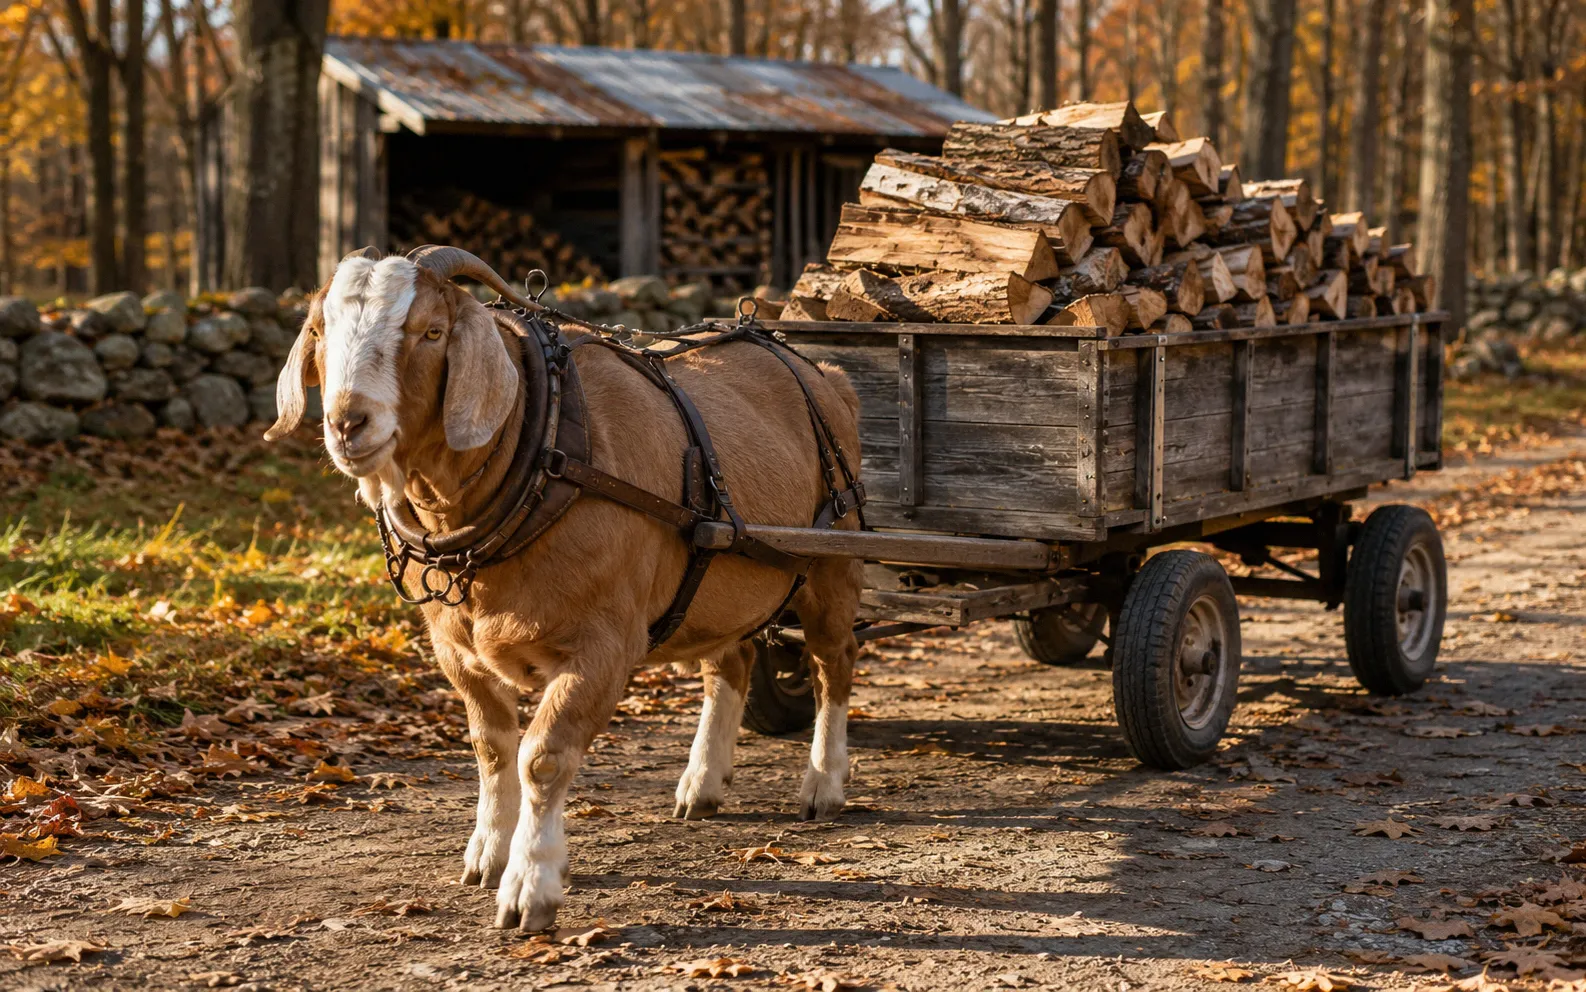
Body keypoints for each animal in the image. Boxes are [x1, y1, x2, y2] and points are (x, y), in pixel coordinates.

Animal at [265, 248, 863, 931]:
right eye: (320, 331)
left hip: (831, 564)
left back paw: (822, 784)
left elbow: (543, 756)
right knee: (730, 662)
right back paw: (703, 783)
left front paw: (531, 885)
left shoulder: (601, 646)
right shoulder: (455, 651)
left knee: (832, 663)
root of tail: (827, 375)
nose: (347, 422)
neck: (545, 451)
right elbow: (492, 749)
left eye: (431, 332)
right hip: (720, 579)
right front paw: (487, 854)